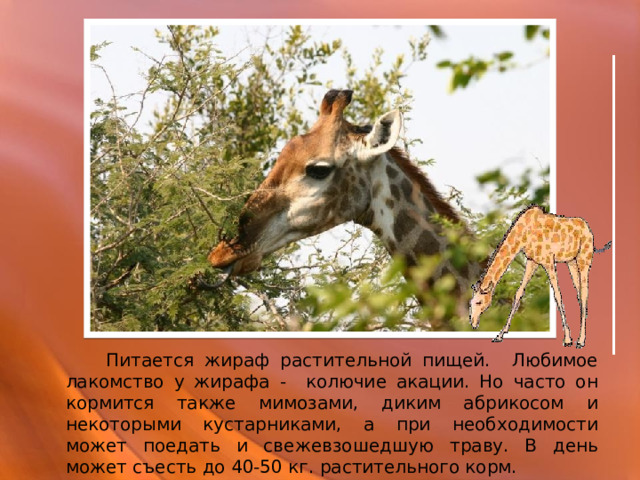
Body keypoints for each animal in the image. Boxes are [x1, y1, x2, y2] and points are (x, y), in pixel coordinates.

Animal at [469, 205, 611, 348]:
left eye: (479, 302)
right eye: (470, 303)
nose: (473, 323)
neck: (524, 232)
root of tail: (587, 228)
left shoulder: (548, 261)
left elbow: (557, 295)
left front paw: (567, 339)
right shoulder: (532, 260)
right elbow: (518, 293)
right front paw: (499, 335)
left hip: (584, 257)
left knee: (584, 291)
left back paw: (581, 341)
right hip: (571, 261)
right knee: (579, 291)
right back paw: (580, 337)